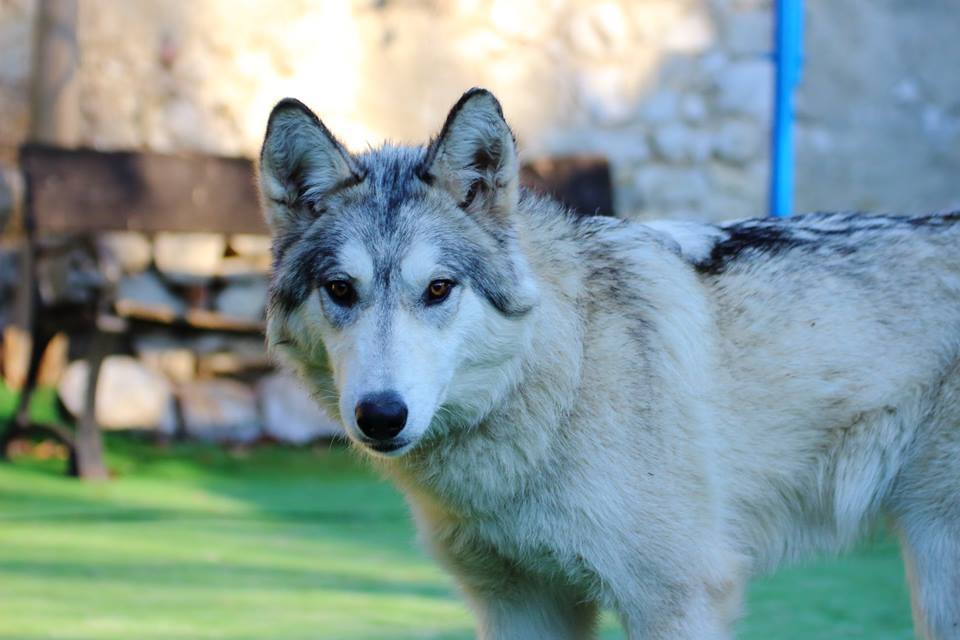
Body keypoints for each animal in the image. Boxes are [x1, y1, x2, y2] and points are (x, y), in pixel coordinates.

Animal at [258, 88, 960, 639]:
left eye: (437, 289)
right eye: (340, 290)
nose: (381, 416)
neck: (567, 376)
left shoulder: (676, 600)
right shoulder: (521, 605)